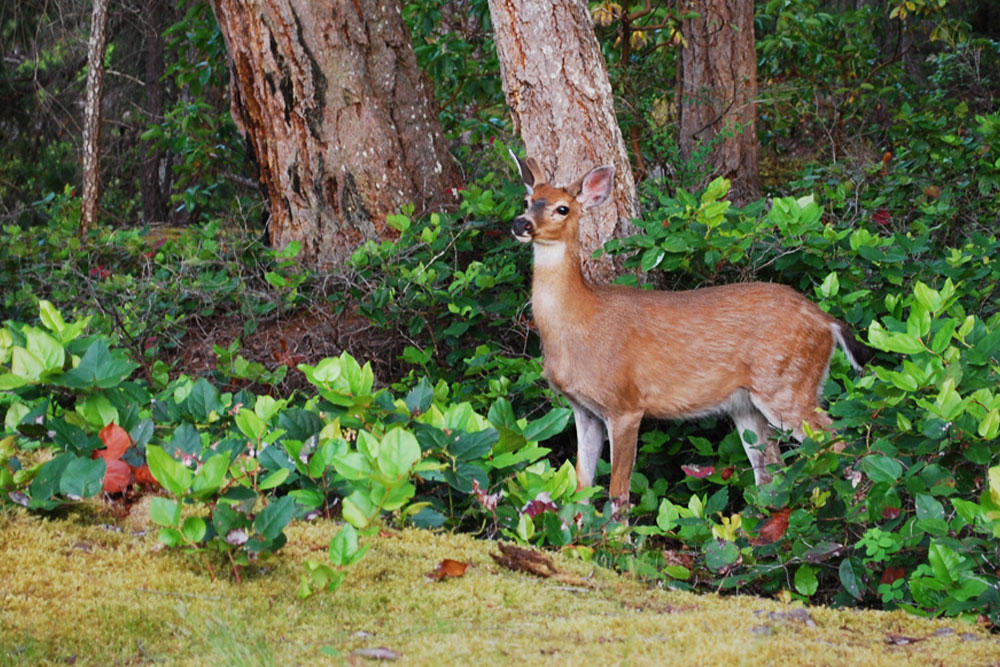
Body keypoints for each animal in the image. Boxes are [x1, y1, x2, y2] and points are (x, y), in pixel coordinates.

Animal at [508, 153, 876, 516]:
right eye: (527, 200)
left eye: (562, 208)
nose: (521, 224)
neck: (579, 321)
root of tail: (826, 320)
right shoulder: (583, 410)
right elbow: (581, 490)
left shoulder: (625, 404)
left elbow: (618, 494)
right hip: (749, 405)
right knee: (769, 473)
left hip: (787, 386)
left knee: (844, 443)